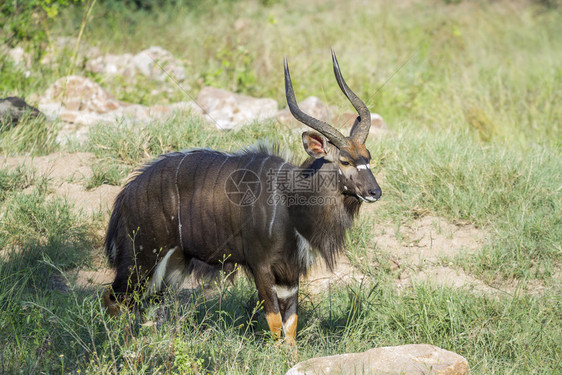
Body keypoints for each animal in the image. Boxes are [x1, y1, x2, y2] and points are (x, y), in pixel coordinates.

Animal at [102, 50, 380, 346]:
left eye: (368, 156)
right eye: (345, 161)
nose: (375, 192)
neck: (290, 199)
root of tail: (126, 196)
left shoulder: (290, 273)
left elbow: (291, 326)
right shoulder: (261, 266)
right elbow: (274, 322)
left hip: (171, 266)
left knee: (148, 306)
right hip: (140, 259)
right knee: (115, 298)